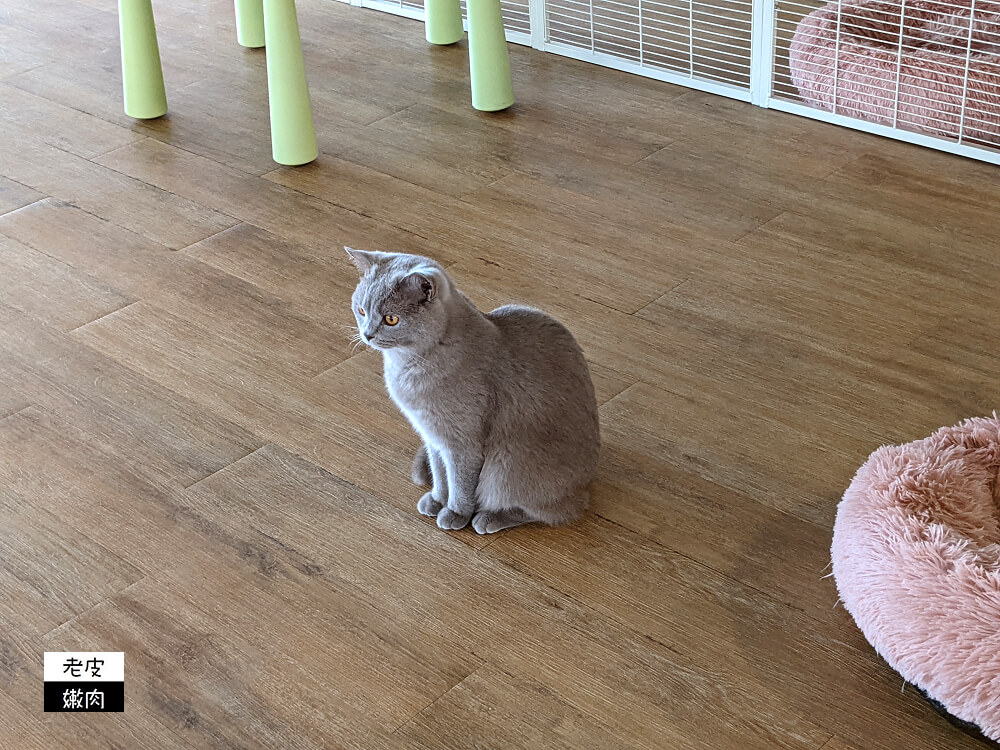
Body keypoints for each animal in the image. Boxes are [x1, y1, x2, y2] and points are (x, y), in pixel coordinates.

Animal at [348, 248, 600, 536]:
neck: (407, 365)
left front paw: (456, 512)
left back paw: (489, 518)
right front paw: (437, 499)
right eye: (361, 310)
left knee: (550, 511)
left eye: (391, 319)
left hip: (507, 464)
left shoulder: (463, 444)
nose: (367, 334)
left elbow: (460, 482)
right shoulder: (432, 435)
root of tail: (588, 484)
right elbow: (440, 473)